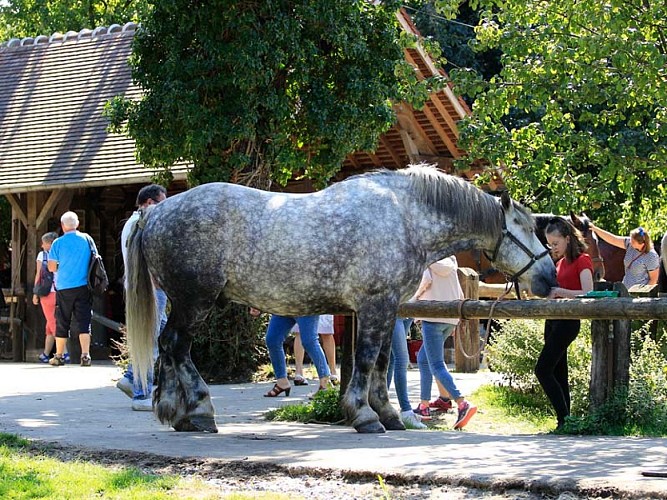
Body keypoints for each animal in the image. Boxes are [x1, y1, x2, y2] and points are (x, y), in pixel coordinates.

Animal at [125, 164, 557, 434]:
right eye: (526, 229)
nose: (549, 277)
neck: (406, 218)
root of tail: (156, 213)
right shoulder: (374, 305)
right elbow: (366, 360)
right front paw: (364, 415)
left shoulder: (387, 308)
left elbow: (382, 362)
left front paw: (387, 414)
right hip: (194, 300)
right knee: (176, 346)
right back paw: (200, 412)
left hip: (183, 302)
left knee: (169, 347)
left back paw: (175, 413)